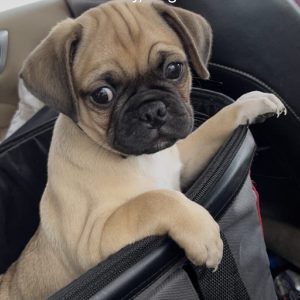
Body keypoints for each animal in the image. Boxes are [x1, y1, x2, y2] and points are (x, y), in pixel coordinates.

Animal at [0, 1, 286, 298]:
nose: (152, 110)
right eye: (102, 95)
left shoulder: (181, 162)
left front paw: (248, 103)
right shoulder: (92, 241)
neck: (141, 159)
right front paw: (203, 230)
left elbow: (213, 126)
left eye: (174, 69)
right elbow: (154, 200)